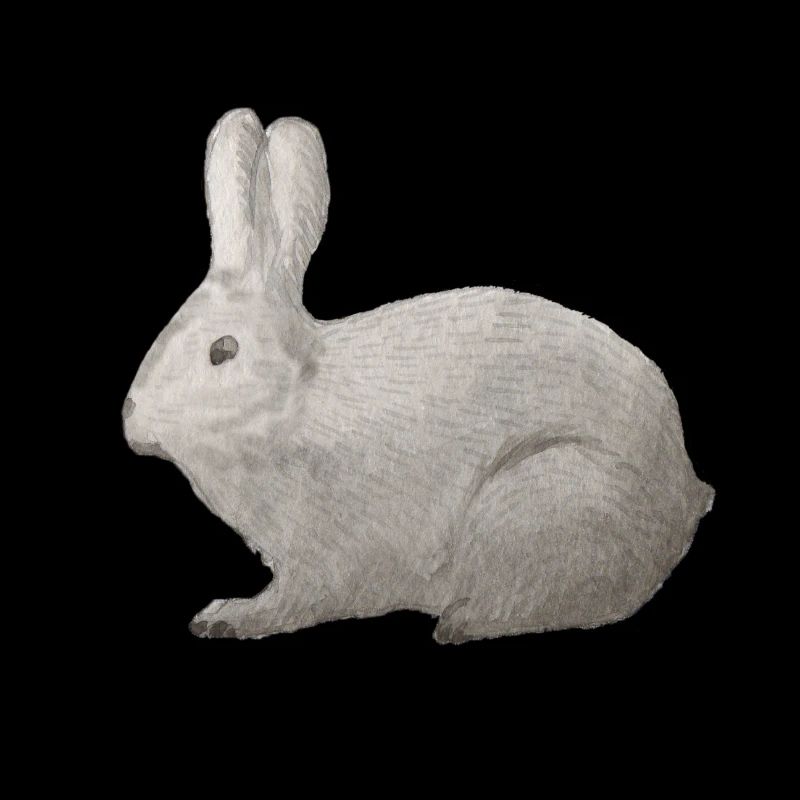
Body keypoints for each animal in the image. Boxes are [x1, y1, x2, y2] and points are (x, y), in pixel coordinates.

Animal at [122, 108, 714, 644]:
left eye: (222, 351)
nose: (130, 419)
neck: (293, 402)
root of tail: (685, 491)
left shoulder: (324, 560)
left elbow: (295, 601)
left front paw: (229, 616)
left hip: (546, 499)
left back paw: (461, 622)